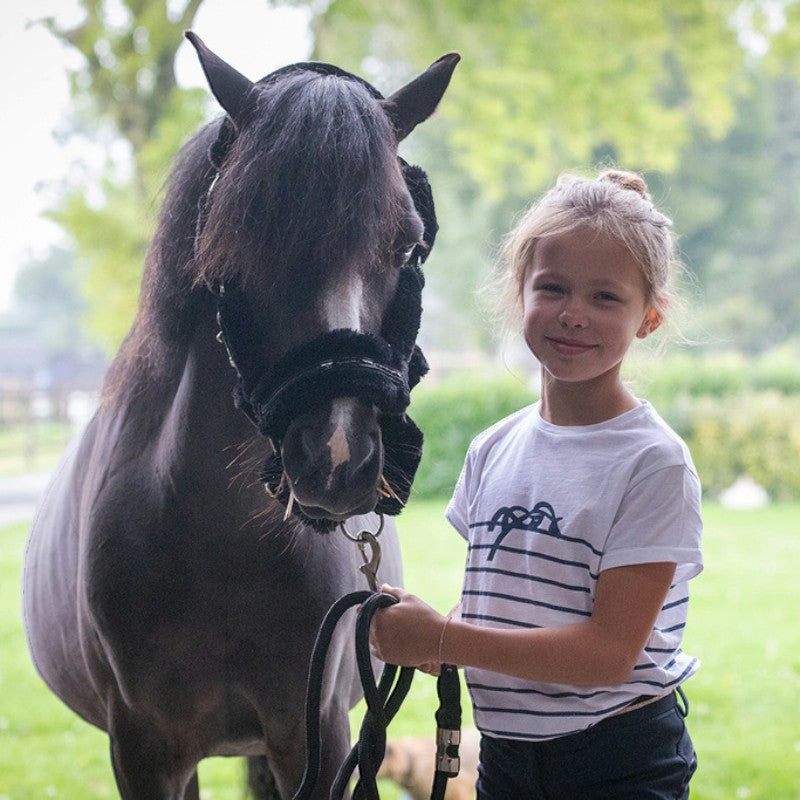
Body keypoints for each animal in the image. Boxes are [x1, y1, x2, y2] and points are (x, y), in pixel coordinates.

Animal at [21, 32, 456, 800]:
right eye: (241, 236)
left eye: (409, 244)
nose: (337, 457)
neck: (223, 548)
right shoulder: (144, 751)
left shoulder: (314, 736)